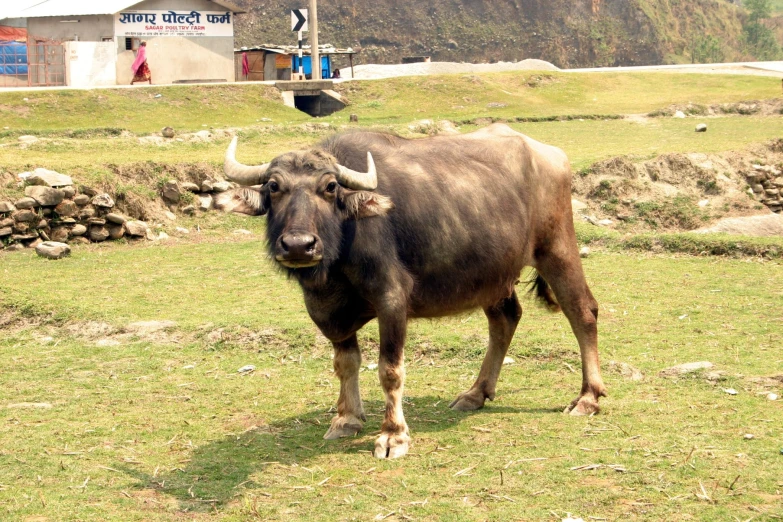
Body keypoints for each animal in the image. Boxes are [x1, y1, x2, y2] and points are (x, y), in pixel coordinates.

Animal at [220, 124, 608, 458]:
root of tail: (550, 154)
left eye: (330, 187)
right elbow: (345, 363)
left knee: (582, 310)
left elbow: (390, 370)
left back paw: (588, 397)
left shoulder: (391, 299)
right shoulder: (327, 310)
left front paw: (393, 435)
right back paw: (476, 393)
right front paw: (346, 418)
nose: (299, 245)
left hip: (556, 247)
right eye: (273, 186)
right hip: (493, 274)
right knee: (505, 319)